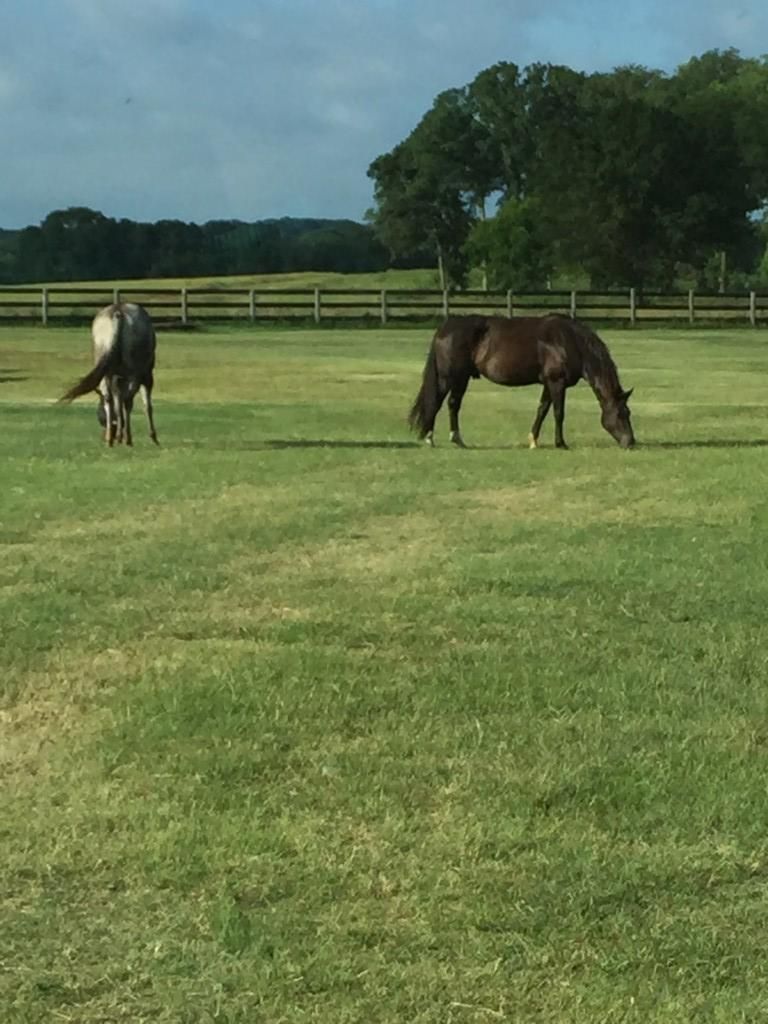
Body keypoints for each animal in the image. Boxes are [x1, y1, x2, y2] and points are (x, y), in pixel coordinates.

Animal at [59, 303, 159, 448]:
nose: (104, 433)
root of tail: (117, 313)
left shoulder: (116, 377)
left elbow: (117, 401)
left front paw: (118, 434)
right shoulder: (146, 376)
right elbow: (146, 405)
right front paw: (152, 436)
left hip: (106, 370)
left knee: (109, 398)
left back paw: (111, 439)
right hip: (134, 372)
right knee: (128, 400)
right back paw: (127, 438)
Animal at [409, 313, 638, 450]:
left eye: (628, 413)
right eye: (621, 413)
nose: (631, 442)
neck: (570, 342)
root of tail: (445, 328)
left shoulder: (548, 384)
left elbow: (542, 410)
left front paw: (533, 440)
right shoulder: (557, 383)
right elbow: (558, 413)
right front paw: (560, 443)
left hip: (461, 378)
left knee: (453, 404)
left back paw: (457, 439)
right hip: (449, 377)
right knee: (437, 402)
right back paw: (430, 437)